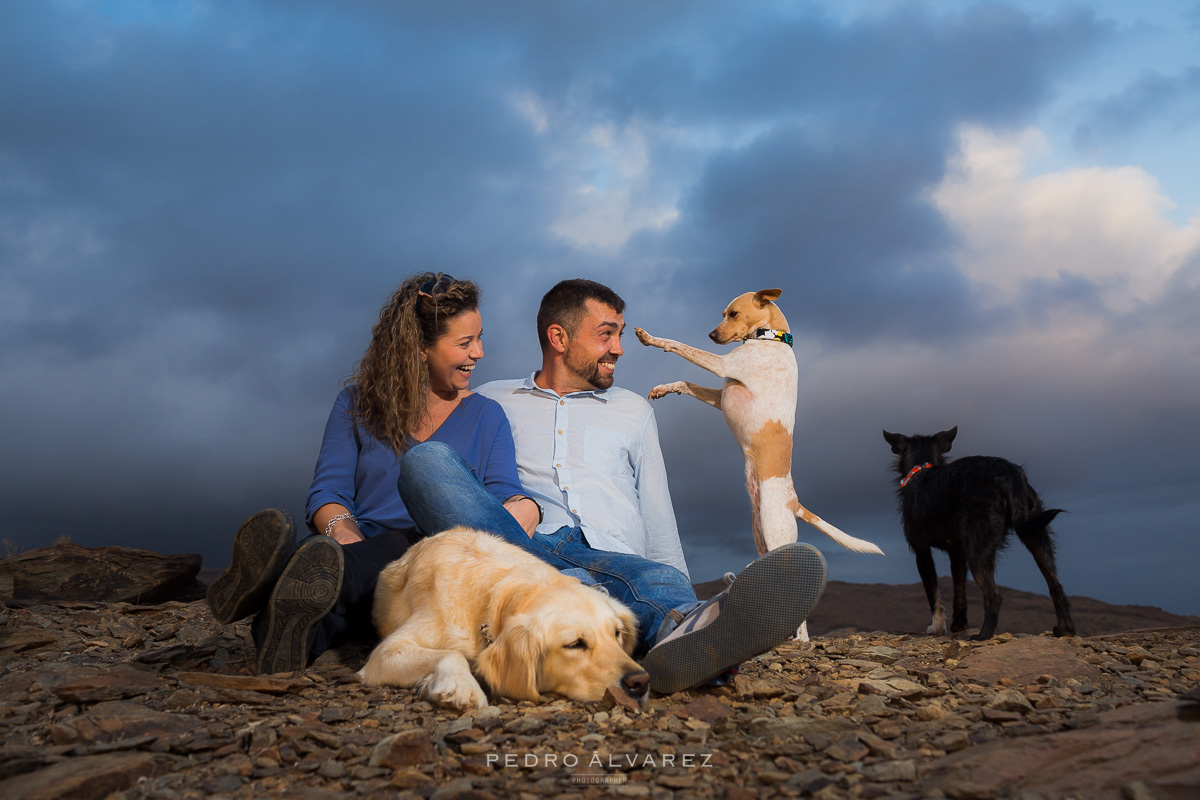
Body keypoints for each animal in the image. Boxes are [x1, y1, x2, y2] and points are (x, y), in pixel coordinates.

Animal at [638, 291, 883, 633]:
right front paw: (665, 388)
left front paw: (650, 338)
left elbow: (677, 344)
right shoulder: (721, 392)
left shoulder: (722, 365)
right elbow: (686, 382)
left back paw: (798, 639)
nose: (711, 335)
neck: (772, 340)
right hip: (760, 537)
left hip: (775, 533)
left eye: (734, 314)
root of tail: (794, 502)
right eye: (723, 313)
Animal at [883, 429, 1080, 642]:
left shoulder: (922, 552)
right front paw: (959, 625)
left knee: (994, 596)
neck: (921, 467)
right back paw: (1065, 629)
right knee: (1055, 585)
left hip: (978, 551)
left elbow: (933, 594)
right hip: (1035, 534)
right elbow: (959, 591)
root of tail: (1009, 474)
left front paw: (937, 627)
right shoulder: (958, 553)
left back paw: (984, 635)